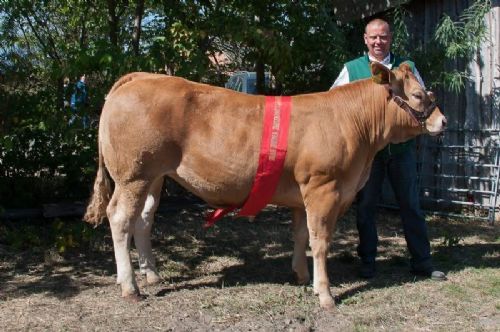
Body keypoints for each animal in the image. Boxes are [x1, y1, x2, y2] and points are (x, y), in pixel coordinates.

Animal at [84, 62, 448, 308]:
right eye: (418, 95)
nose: (443, 121)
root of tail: (140, 76)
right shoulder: (323, 187)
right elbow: (320, 242)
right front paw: (326, 295)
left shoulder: (303, 194)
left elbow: (301, 236)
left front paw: (303, 277)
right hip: (133, 175)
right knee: (120, 218)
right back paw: (131, 287)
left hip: (155, 177)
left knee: (143, 221)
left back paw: (152, 275)